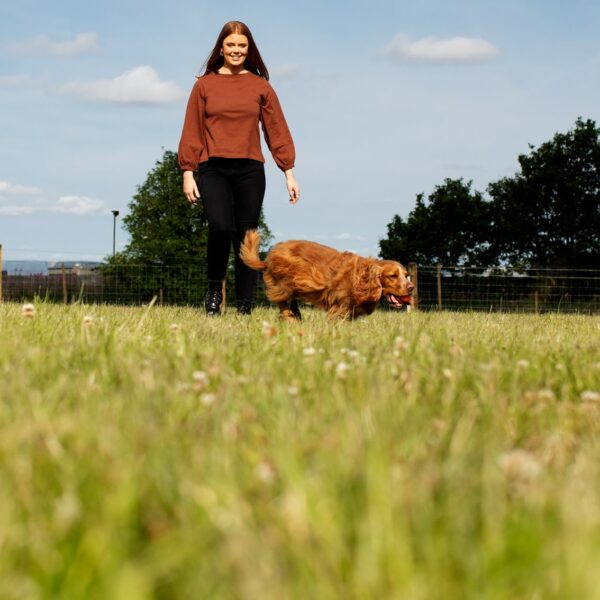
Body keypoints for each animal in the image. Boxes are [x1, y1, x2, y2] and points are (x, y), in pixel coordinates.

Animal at [239, 231, 412, 322]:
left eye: (406, 275)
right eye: (392, 276)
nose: (411, 287)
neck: (363, 277)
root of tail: (268, 259)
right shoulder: (340, 306)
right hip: (287, 280)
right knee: (281, 300)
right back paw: (289, 317)